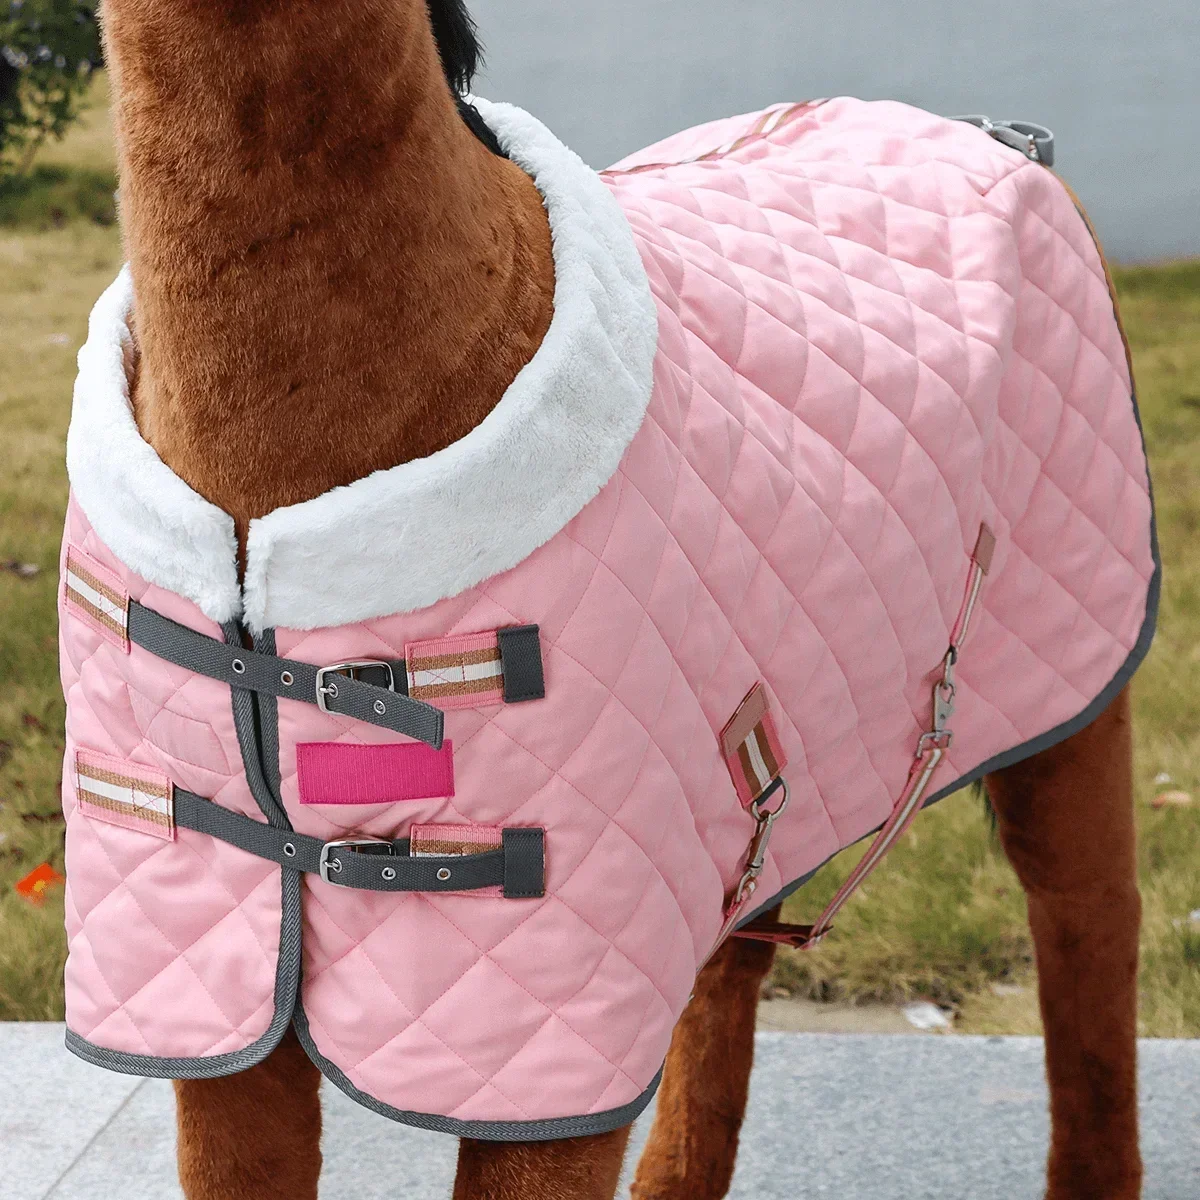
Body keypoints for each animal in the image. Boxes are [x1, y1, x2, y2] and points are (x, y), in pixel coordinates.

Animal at [61, 1, 1153, 1196]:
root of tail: (1004, 142)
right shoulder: (201, 1000)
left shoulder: (550, 1052)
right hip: (760, 793)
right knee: (732, 972)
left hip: (1072, 696)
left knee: (1088, 923)